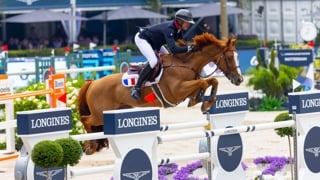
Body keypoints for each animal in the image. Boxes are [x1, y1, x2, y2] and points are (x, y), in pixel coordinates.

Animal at [77, 32, 242, 155]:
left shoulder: (186, 91)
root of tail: (93, 83)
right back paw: (90, 146)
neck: (186, 64)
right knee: (86, 120)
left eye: (237, 56)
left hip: (115, 111)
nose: (239, 79)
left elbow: (212, 81)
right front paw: (201, 101)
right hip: (99, 114)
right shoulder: (177, 91)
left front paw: (205, 101)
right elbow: (203, 82)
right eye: (229, 57)